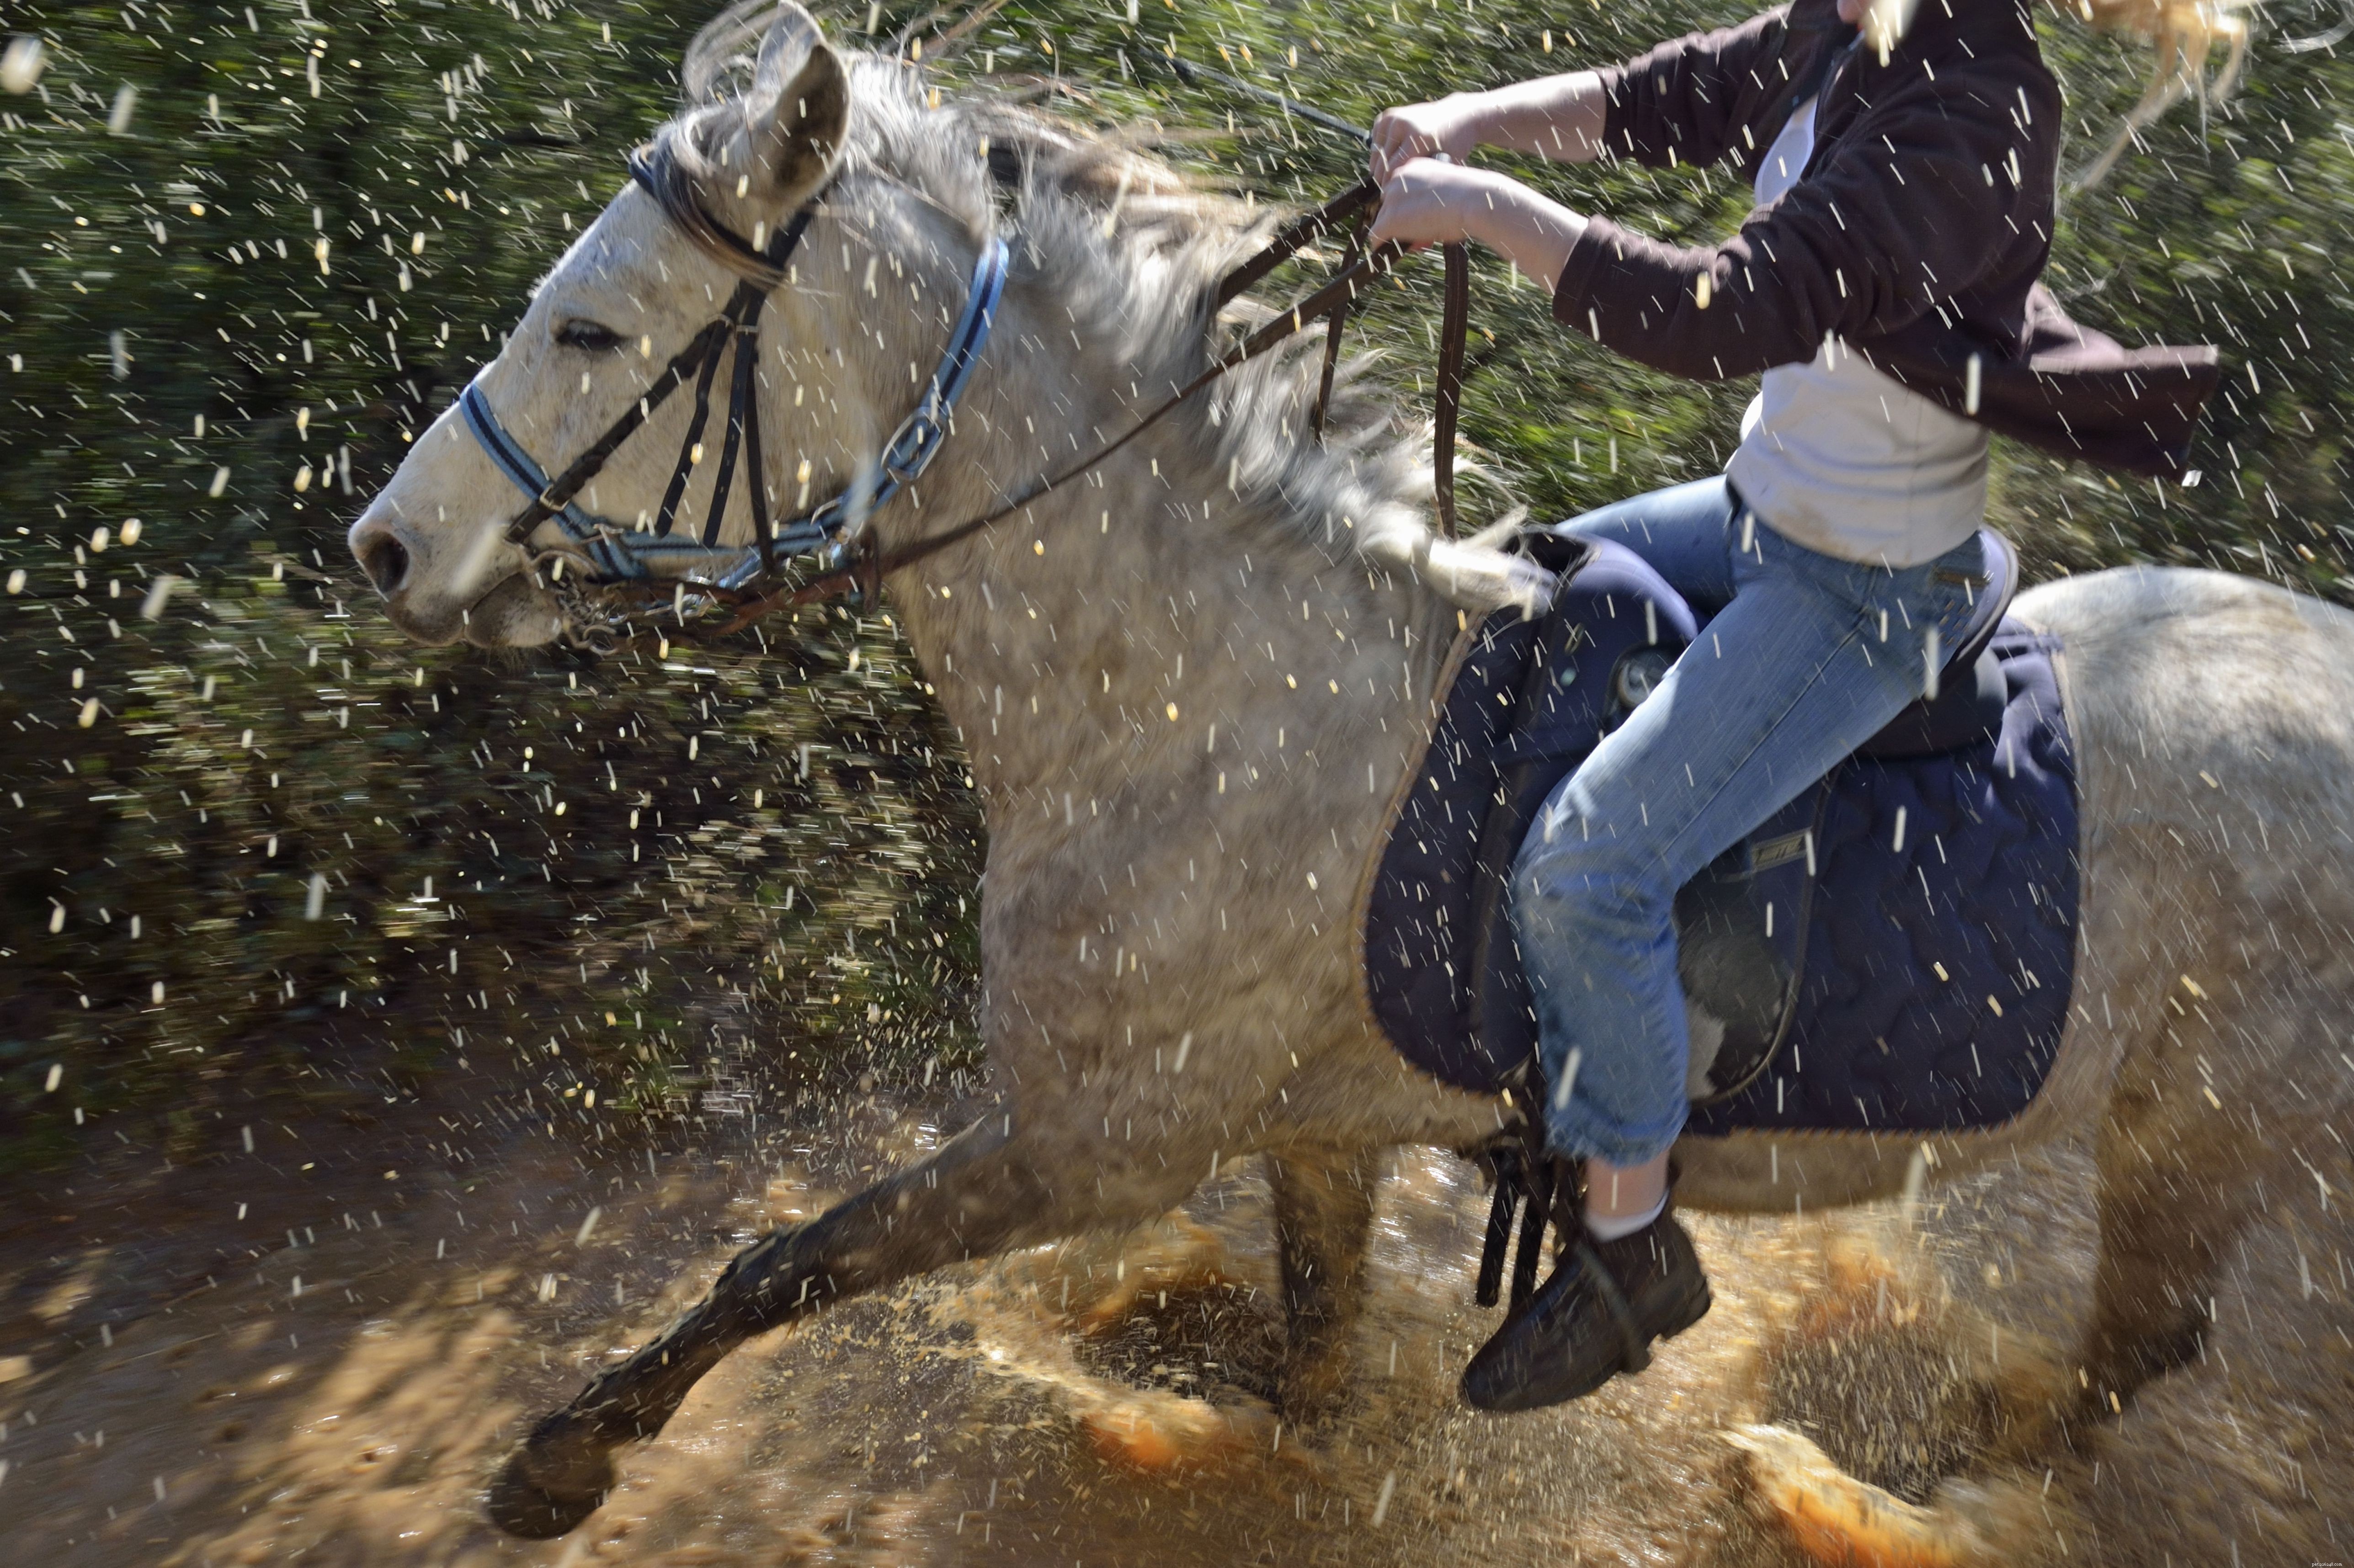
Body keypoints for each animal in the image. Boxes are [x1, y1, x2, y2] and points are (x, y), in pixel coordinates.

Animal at [346, 2, 2354, 1549]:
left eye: (592, 328)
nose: (386, 546)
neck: (1203, 710)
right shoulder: (1312, 1130)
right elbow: (1310, 1368)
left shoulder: (1096, 1136)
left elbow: (785, 1261)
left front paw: (555, 1463)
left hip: (2202, 1137)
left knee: (2130, 1365)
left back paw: (1877, 1487)